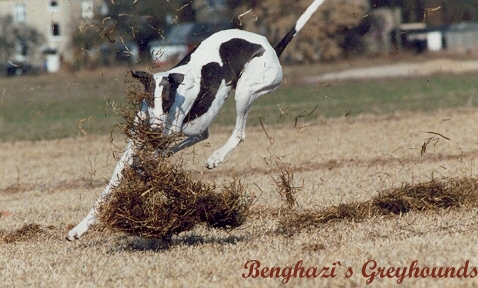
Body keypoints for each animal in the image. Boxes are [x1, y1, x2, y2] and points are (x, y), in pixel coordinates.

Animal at [67, 0, 326, 241]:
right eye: (149, 99)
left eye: (168, 100)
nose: (155, 130)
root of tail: (271, 46)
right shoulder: (136, 144)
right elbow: (112, 185)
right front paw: (80, 228)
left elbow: (147, 163)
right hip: (202, 121)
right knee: (200, 135)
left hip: (246, 90)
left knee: (238, 133)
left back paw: (216, 157)